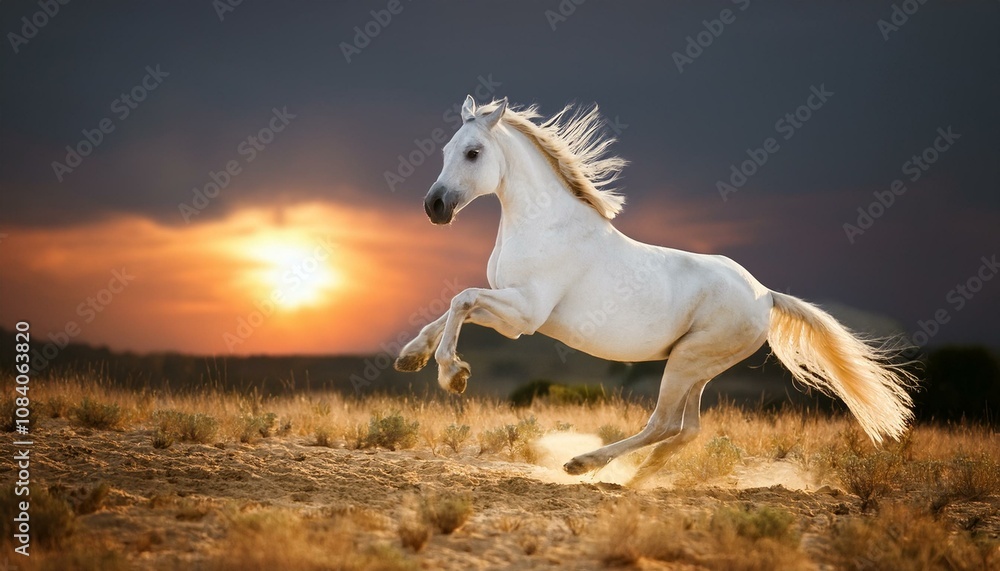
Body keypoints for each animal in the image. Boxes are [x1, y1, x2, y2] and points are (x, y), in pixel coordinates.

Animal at [394, 96, 915, 485]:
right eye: (445, 150)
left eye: (473, 153)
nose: (434, 207)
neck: (546, 225)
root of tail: (765, 294)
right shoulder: (508, 306)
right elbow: (449, 310)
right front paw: (412, 357)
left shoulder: (523, 316)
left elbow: (461, 299)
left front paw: (452, 375)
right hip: (696, 367)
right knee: (687, 430)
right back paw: (636, 482)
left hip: (688, 362)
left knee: (664, 423)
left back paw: (585, 465)